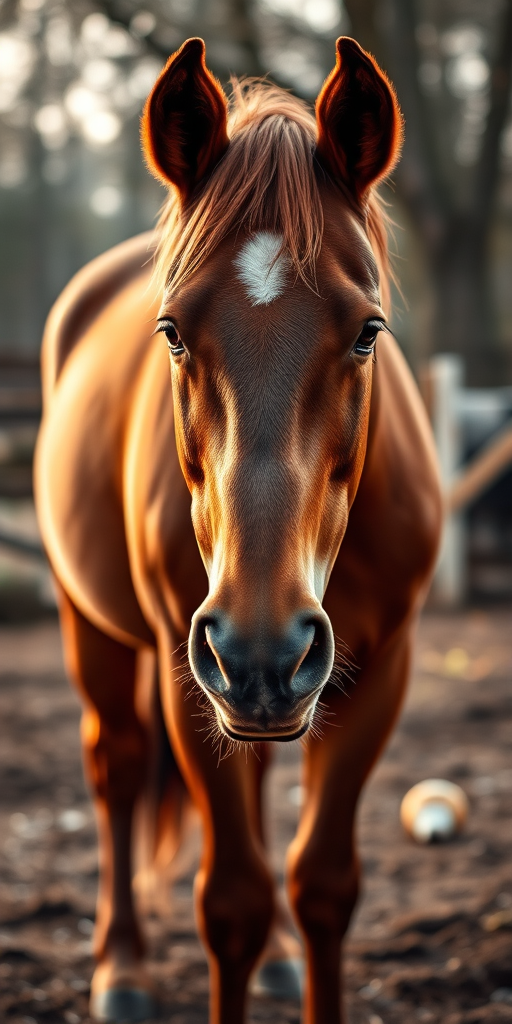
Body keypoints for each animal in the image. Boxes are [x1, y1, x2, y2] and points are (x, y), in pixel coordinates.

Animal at [35, 36, 442, 1024]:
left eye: (368, 330)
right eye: (174, 331)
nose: (262, 645)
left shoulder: (379, 671)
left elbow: (321, 883)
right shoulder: (195, 676)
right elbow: (233, 901)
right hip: (101, 626)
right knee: (115, 768)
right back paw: (123, 971)